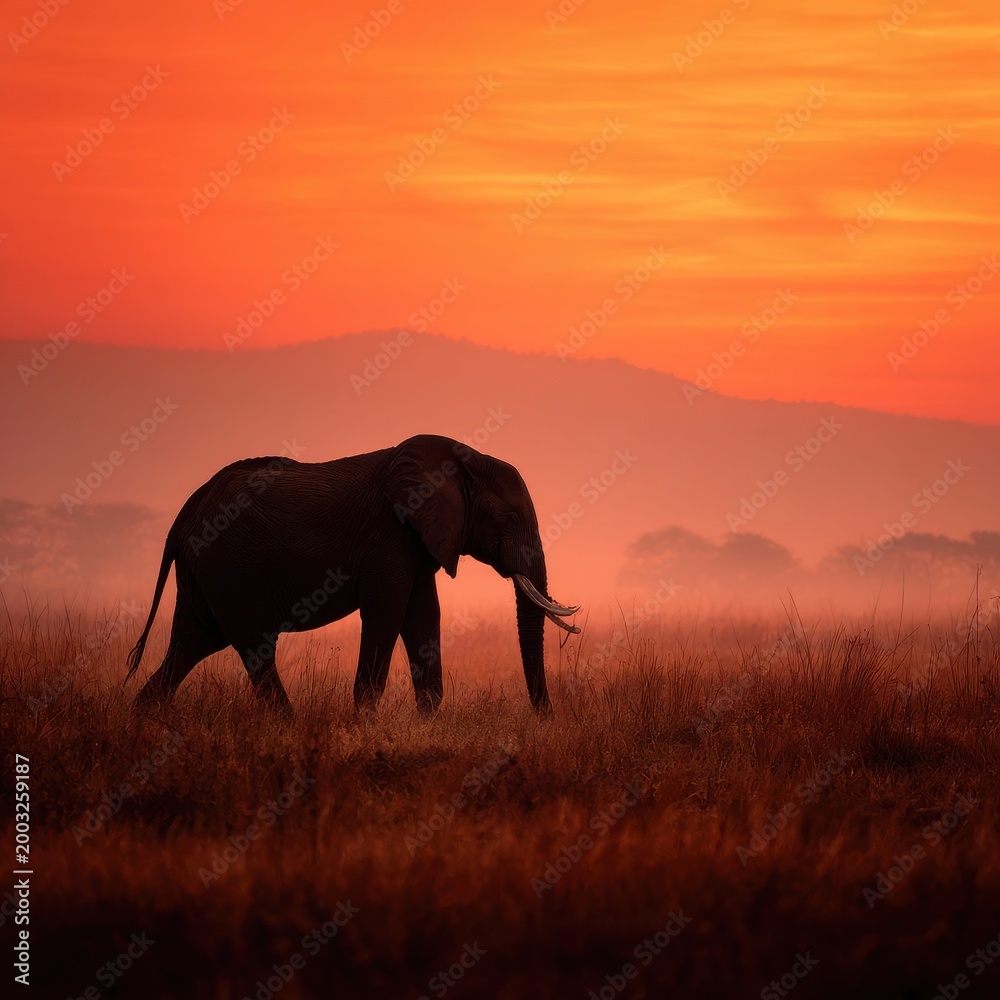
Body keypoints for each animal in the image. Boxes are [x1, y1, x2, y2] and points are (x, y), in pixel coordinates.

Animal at [125, 434, 580, 714]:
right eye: (511, 518)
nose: (546, 718)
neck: (461, 456)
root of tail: (185, 513)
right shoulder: (389, 539)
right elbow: (386, 615)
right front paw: (363, 722)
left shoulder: (417, 544)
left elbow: (423, 617)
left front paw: (428, 721)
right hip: (230, 568)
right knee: (254, 648)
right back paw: (290, 728)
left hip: (206, 572)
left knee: (191, 643)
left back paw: (142, 722)